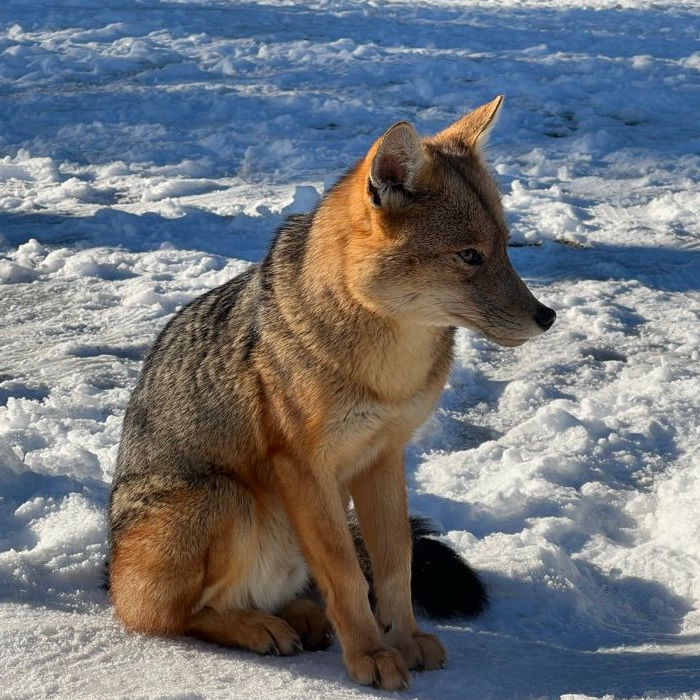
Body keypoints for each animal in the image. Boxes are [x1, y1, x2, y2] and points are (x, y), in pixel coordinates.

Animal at [108, 95, 556, 691]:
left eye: (505, 247)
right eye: (469, 256)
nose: (547, 317)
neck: (387, 371)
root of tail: (107, 570)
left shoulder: (383, 458)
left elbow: (393, 567)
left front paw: (404, 640)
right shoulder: (305, 469)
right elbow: (346, 575)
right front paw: (370, 654)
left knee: (284, 593)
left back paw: (300, 616)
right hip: (224, 498)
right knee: (175, 616)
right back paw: (256, 627)